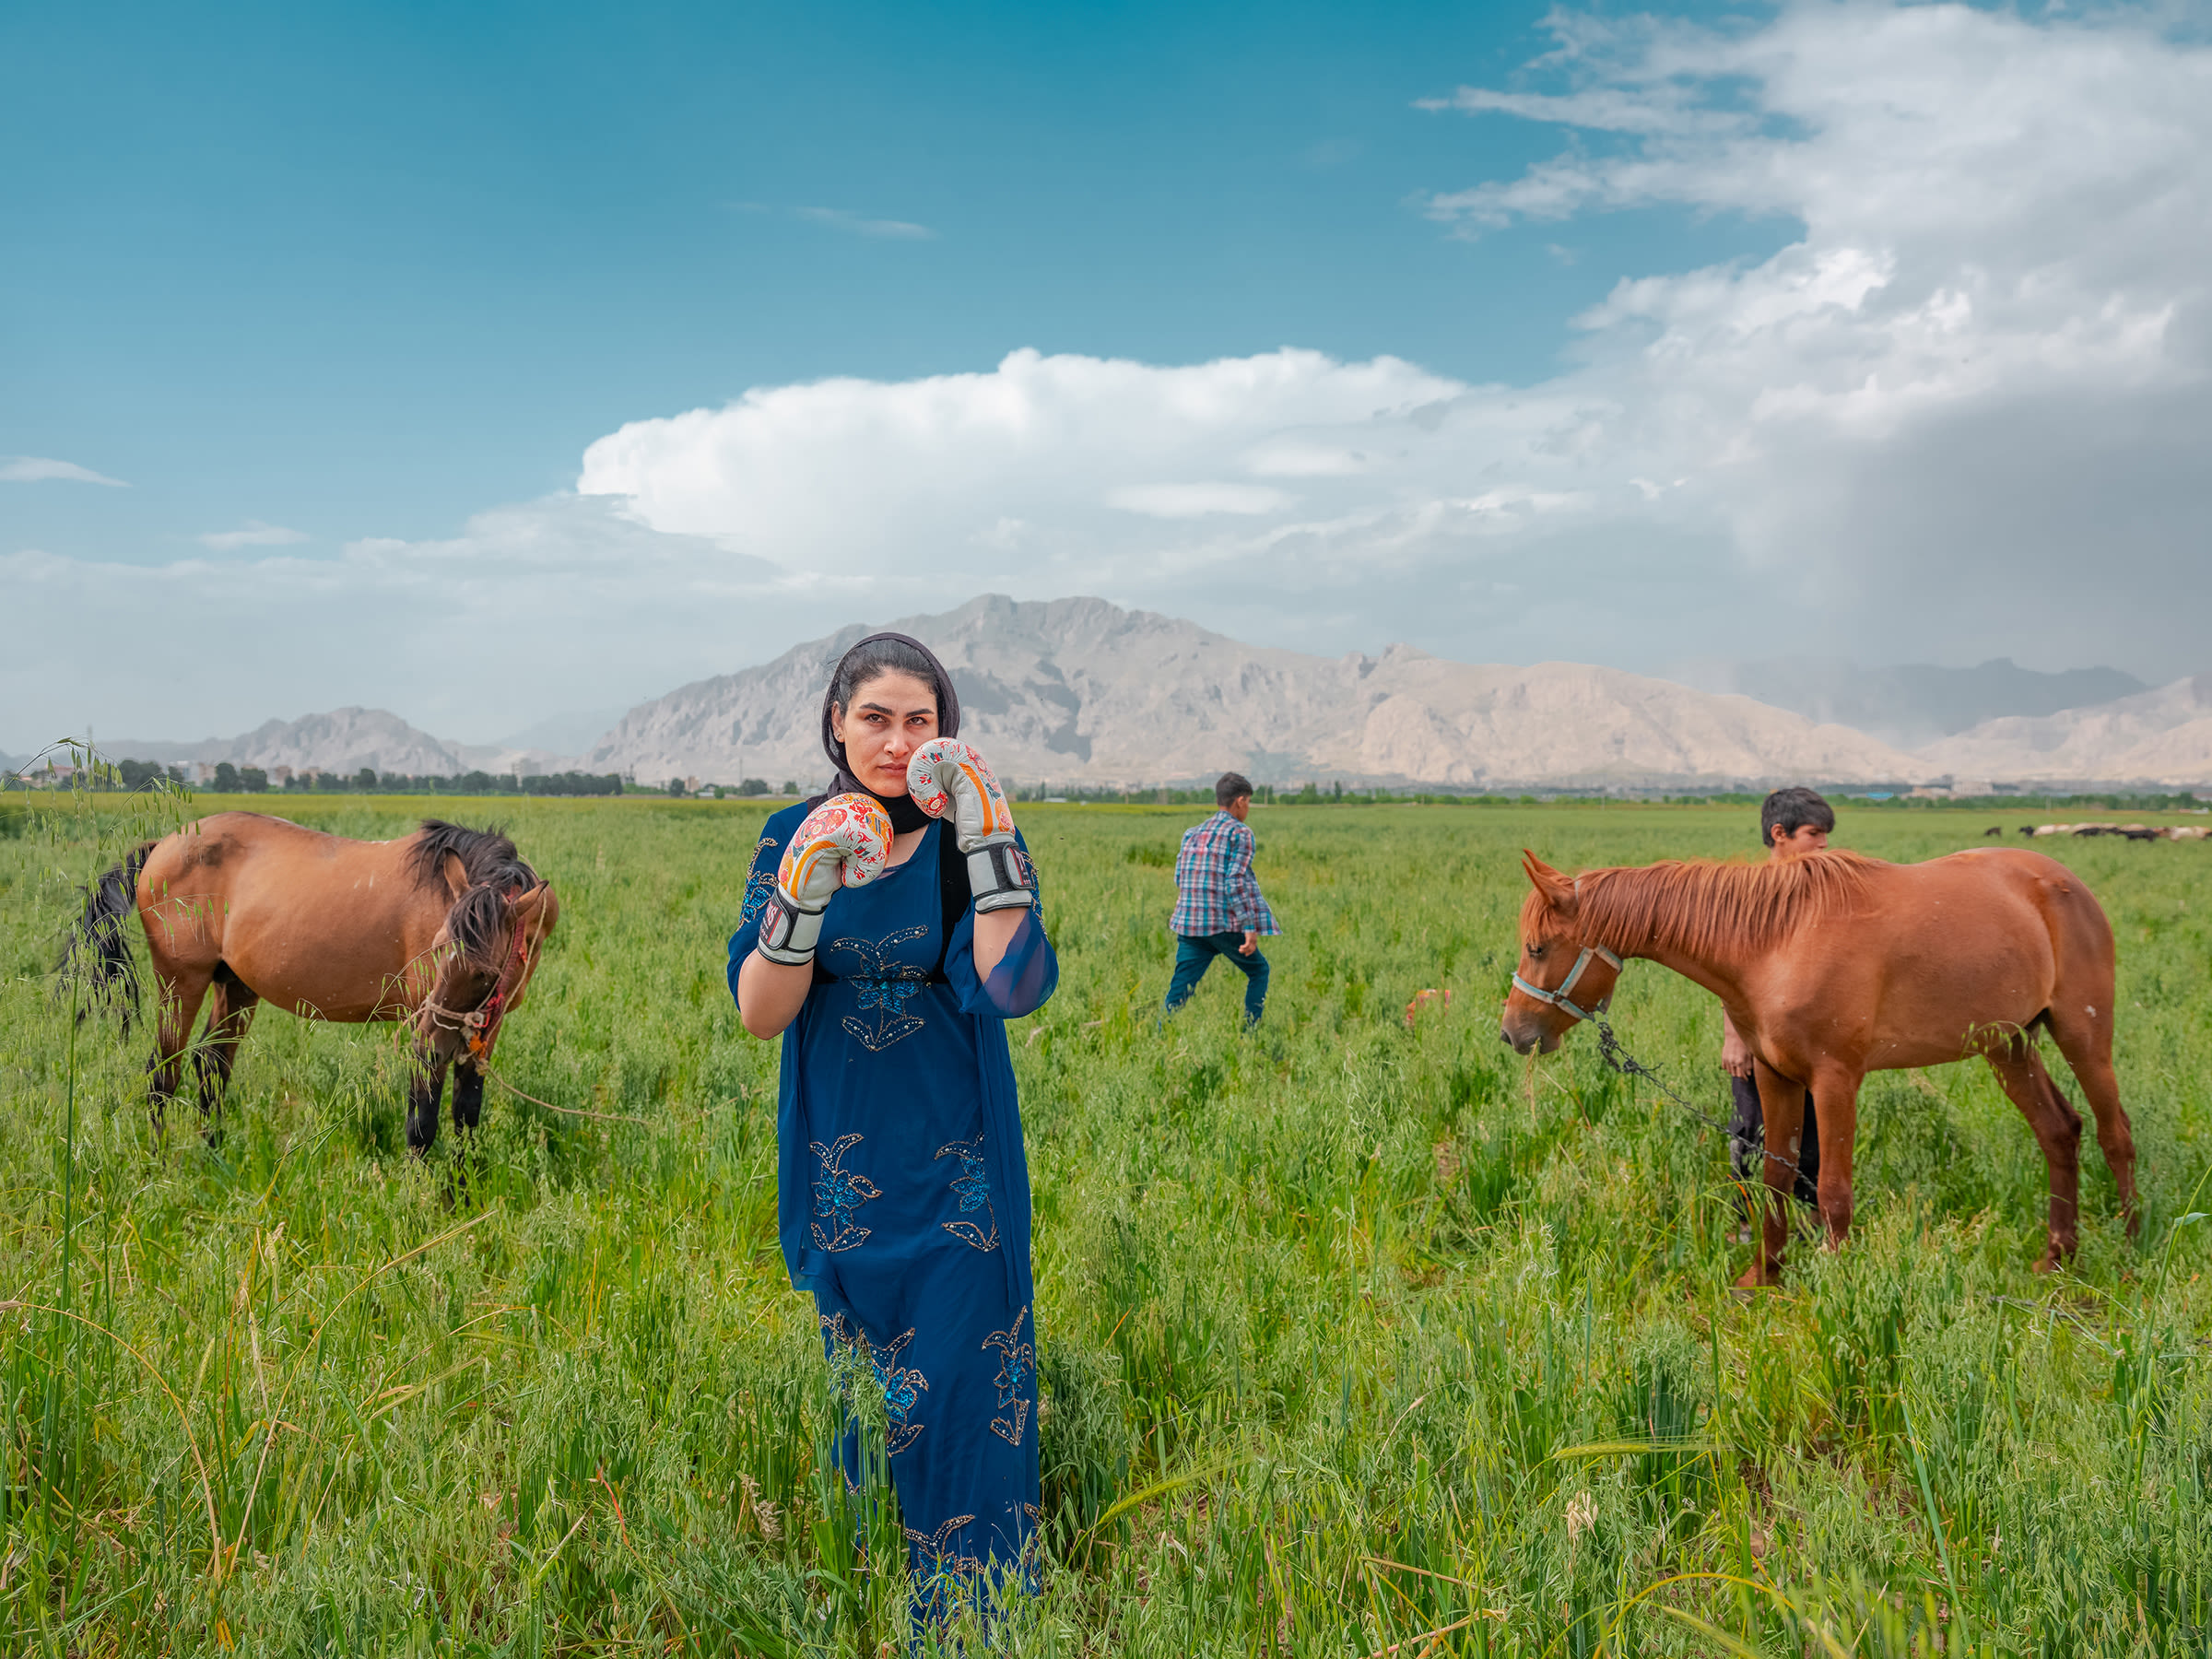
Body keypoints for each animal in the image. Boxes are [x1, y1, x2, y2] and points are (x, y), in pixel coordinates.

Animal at [70, 814, 561, 1159]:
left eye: (485, 972)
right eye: (438, 949)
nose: (428, 1042)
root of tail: (163, 846)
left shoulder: (483, 1032)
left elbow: (466, 1117)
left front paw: (459, 1198)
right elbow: (422, 1121)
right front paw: (418, 1200)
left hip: (235, 986)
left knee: (211, 1066)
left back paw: (215, 1158)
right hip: (180, 982)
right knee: (162, 1074)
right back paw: (157, 1167)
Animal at [1495, 844, 2132, 1283]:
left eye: (1537, 947)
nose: (1512, 1033)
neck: (1774, 943)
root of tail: (2064, 883)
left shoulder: (1835, 1080)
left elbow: (1831, 1190)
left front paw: (1839, 1286)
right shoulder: (1776, 1077)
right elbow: (1775, 1178)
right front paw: (1764, 1276)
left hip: (2084, 1035)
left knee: (2114, 1133)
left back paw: (2128, 1248)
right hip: (2008, 1045)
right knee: (2059, 1131)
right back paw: (2057, 1255)